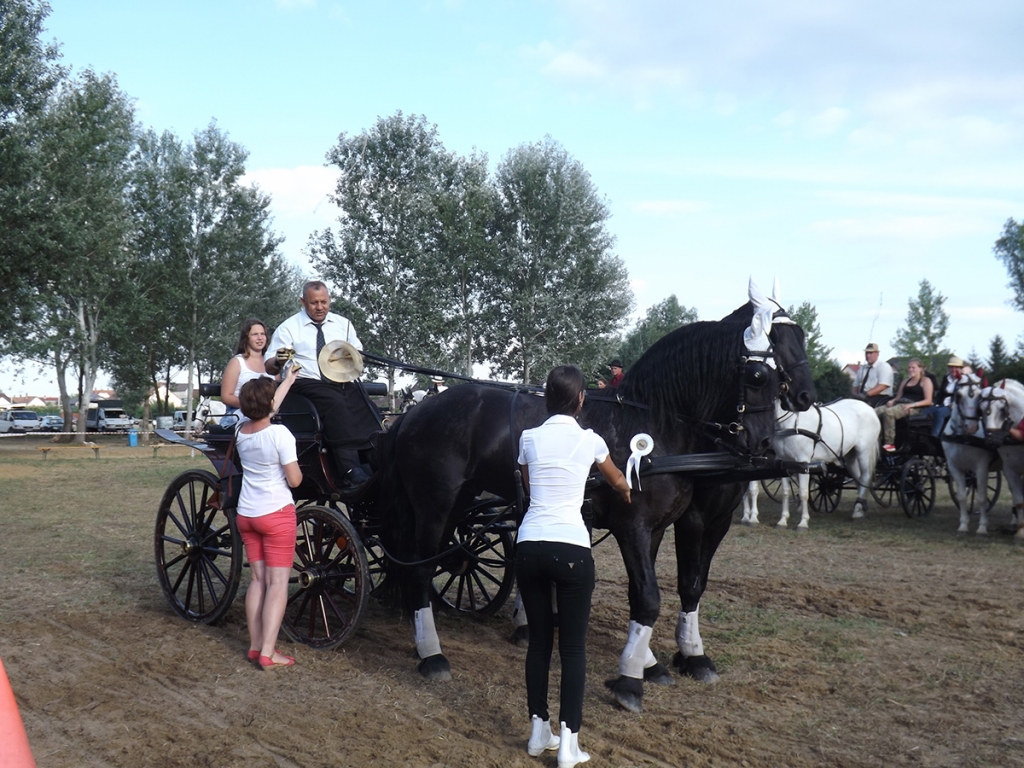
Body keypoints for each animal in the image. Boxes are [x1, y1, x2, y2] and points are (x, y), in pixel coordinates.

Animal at [375, 280, 817, 713]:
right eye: (758, 374)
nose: (762, 442)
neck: (654, 426)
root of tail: (414, 413)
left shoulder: (661, 528)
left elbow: (654, 593)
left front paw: (653, 663)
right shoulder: (637, 526)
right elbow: (651, 596)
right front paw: (631, 680)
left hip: (460, 504)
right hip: (434, 505)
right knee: (419, 569)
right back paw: (431, 654)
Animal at [740, 398, 880, 529]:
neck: (791, 424)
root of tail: (870, 408)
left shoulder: (802, 462)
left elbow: (803, 493)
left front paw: (802, 523)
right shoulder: (782, 462)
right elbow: (783, 492)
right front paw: (780, 521)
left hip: (864, 451)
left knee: (865, 476)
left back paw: (857, 511)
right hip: (850, 455)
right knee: (858, 479)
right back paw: (859, 509)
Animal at [940, 373, 996, 535]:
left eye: (980, 396)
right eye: (958, 395)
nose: (971, 427)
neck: (963, 437)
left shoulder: (982, 467)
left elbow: (982, 497)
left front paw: (982, 527)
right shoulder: (954, 467)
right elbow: (961, 496)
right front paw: (963, 525)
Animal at [980, 378, 1024, 540]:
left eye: (1002, 409)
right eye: (980, 410)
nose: (992, 440)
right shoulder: (1009, 469)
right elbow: (1019, 500)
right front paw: (1021, 531)